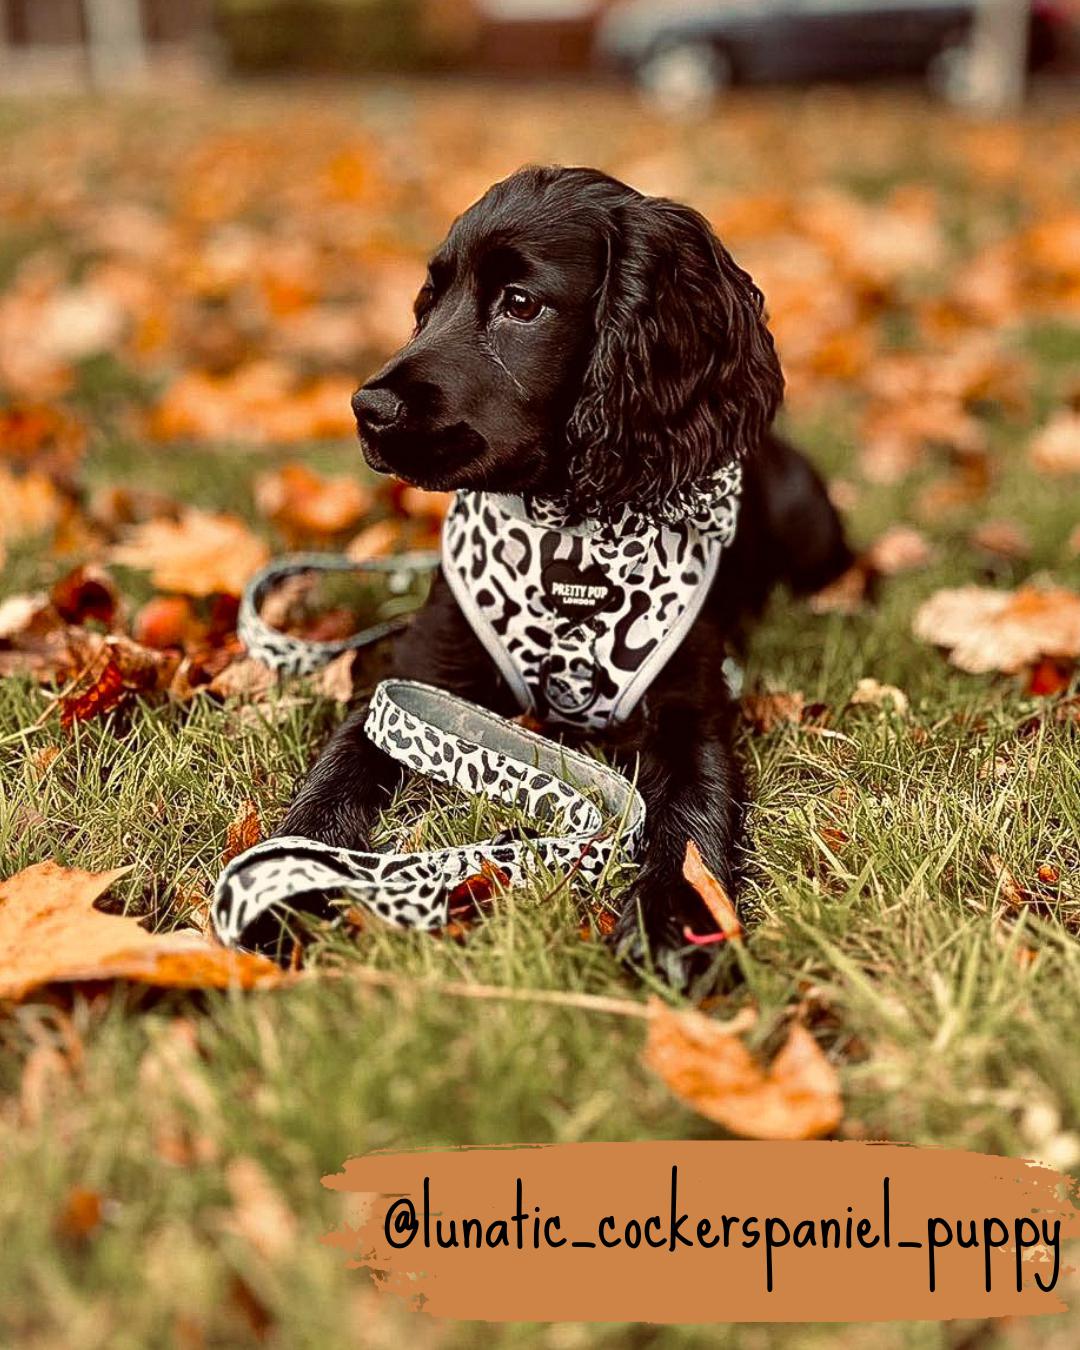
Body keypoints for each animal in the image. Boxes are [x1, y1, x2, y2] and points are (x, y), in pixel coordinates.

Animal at [276, 166, 853, 993]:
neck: (570, 541)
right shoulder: (414, 683)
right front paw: (280, 884)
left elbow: (690, 824)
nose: (368, 407)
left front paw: (673, 926)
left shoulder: (691, 712)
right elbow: (336, 773)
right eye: (429, 300)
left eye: (522, 304)